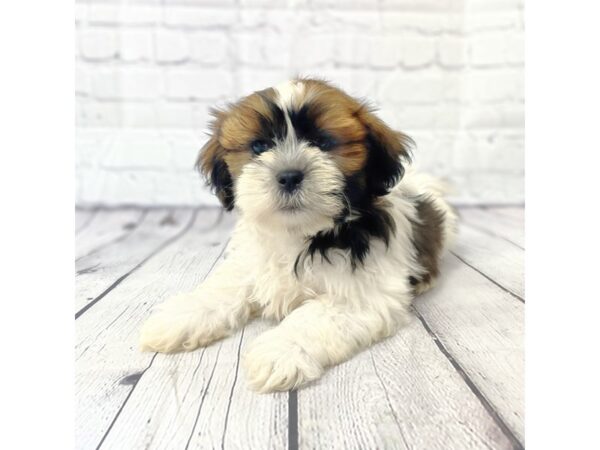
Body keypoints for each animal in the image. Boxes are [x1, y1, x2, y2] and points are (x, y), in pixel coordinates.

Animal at [142, 79, 460, 392]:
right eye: (259, 146)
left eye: (323, 143)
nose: (289, 175)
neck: (299, 232)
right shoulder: (249, 261)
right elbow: (225, 287)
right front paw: (180, 316)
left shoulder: (363, 293)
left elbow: (312, 317)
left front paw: (279, 351)